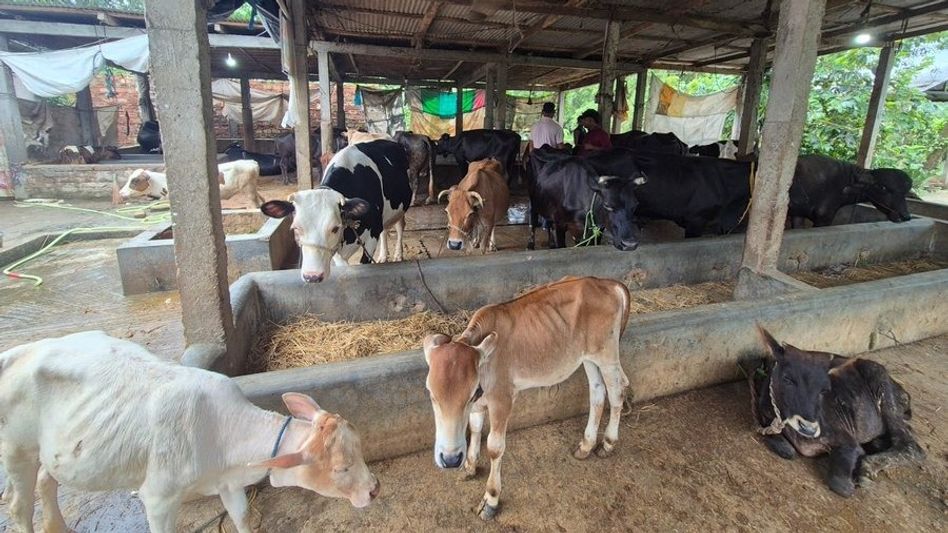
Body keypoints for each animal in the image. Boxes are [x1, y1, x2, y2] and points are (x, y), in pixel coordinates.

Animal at [0, 331, 379, 533]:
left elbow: (242, 517)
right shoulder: (158, 496)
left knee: (47, 482)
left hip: (52, 450)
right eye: (341, 468)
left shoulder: (229, 484)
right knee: (19, 506)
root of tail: (17, 351)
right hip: (16, 449)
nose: (374, 489)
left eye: (361, 448)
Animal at [260, 140, 412, 283]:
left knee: (399, 227)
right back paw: (383, 256)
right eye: (295, 229)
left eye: (335, 228)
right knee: (385, 231)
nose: (312, 276)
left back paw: (398, 255)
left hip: (400, 209)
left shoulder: (372, 234)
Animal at [423, 276, 631, 520]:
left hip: (607, 355)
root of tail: (607, 282)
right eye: (431, 393)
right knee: (597, 393)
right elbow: (474, 429)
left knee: (617, 392)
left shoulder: (502, 399)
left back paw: (607, 443)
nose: (450, 459)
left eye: (472, 392)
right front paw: (470, 466)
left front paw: (490, 500)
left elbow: (494, 447)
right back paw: (586, 446)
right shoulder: (480, 405)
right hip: (588, 358)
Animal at [742, 326, 924, 497]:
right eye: (787, 379)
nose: (809, 428)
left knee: (911, 445)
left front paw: (856, 478)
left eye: (824, 389)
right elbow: (784, 448)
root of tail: (903, 392)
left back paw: (867, 468)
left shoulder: (846, 439)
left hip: (882, 387)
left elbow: (840, 485)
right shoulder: (763, 415)